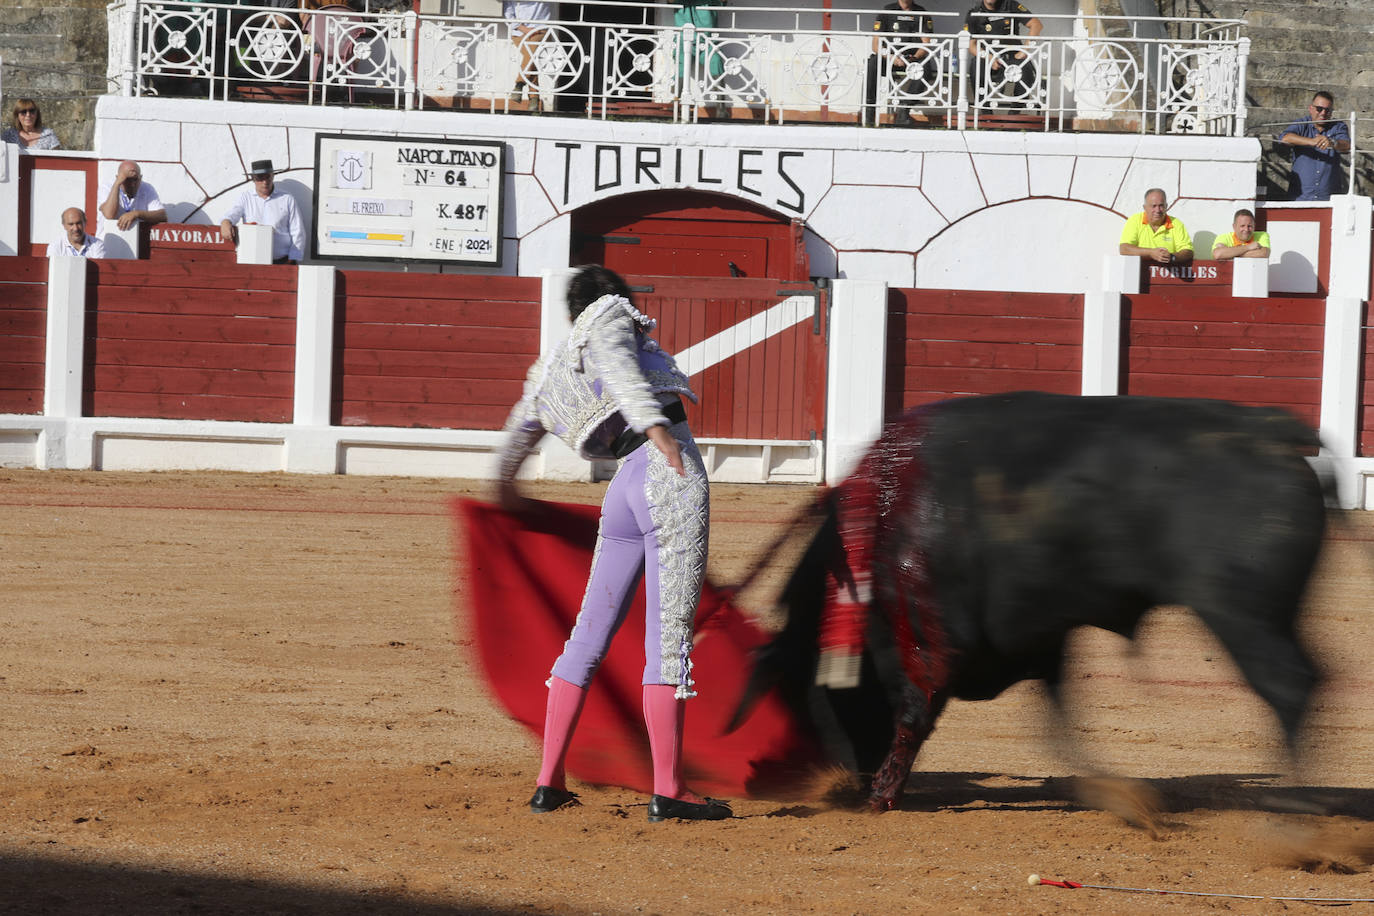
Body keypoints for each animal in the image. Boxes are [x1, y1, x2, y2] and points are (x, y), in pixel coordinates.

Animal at [730, 390, 1330, 813]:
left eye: (804, 691)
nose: (849, 781)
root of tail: (1274, 433)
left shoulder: (932, 632)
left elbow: (916, 706)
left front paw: (882, 797)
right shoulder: (1040, 635)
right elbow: (1057, 717)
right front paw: (1117, 794)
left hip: (1242, 610)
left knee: (1287, 686)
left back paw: (1294, 814)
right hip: (1264, 615)